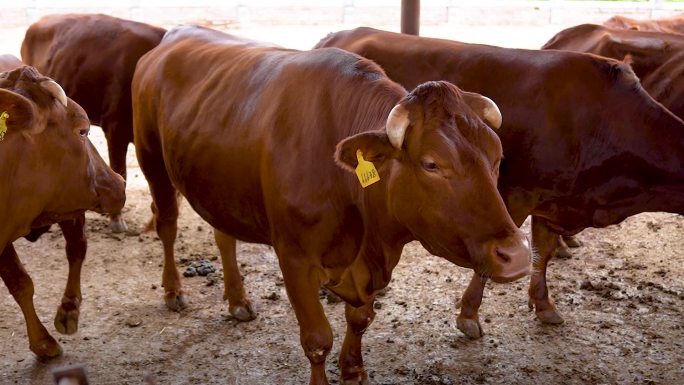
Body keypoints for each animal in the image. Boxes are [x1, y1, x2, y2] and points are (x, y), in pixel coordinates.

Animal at [132, 26, 528, 384]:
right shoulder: (294, 258)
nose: (518, 254)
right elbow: (317, 339)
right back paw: (173, 290)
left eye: (497, 157)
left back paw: (238, 300)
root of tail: (176, 34)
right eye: (431, 163)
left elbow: (360, 320)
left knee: (223, 236)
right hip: (151, 160)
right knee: (167, 224)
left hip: (219, 184)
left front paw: (353, 370)